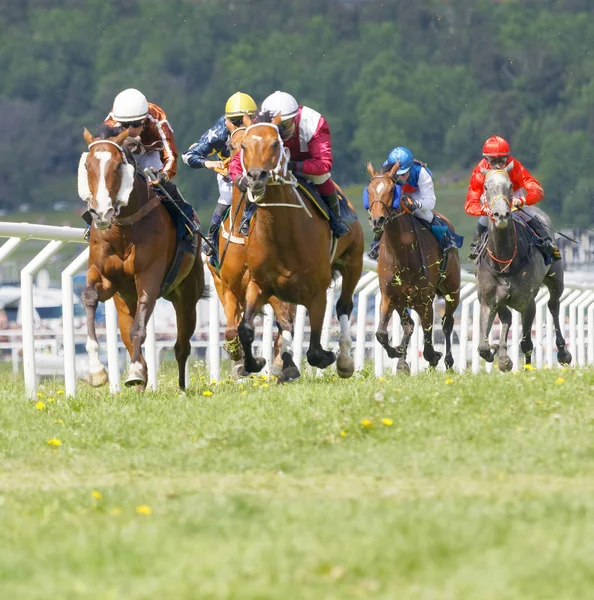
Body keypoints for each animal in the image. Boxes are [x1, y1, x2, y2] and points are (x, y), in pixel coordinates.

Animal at [78, 124, 205, 392]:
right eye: (87, 166)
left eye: (118, 165)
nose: (101, 212)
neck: (123, 229)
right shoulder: (104, 276)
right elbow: (90, 298)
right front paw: (96, 370)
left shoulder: (149, 276)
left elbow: (139, 329)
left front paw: (134, 371)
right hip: (124, 299)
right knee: (127, 335)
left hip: (187, 295)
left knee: (182, 345)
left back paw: (180, 387)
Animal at [234, 112, 364, 380]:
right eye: (243, 146)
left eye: (275, 144)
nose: (255, 177)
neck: (281, 235)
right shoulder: (258, 284)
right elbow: (247, 328)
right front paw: (255, 363)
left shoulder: (317, 291)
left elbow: (314, 350)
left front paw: (329, 356)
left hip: (353, 262)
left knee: (344, 306)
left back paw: (345, 361)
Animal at [364, 162, 460, 372]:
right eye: (369, 190)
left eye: (392, 190)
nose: (377, 220)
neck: (402, 253)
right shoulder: (389, 295)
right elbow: (381, 333)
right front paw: (397, 353)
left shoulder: (425, 299)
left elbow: (428, 337)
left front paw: (434, 356)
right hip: (403, 299)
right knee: (409, 325)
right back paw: (402, 361)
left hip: (452, 291)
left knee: (447, 323)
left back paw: (448, 361)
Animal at [472, 165, 568, 370]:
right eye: (485, 186)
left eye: (510, 185)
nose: (501, 214)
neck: (504, 260)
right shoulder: (488, 301)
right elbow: (483, 346)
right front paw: (498, 354)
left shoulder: (527, 302)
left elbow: (526, 343)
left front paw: (525, 368)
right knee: (508, 317)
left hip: (556, 280)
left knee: (553, 305)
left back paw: (563, 352)